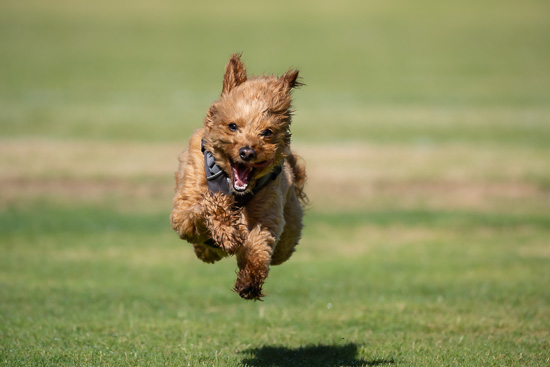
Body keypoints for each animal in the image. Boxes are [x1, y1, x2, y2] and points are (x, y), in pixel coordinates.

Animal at [170, 55, 308, 302]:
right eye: (232, 126)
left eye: (267, 132)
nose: (247, 152)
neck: (231, 185)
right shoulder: (182, 209)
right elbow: (202, 210)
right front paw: (225, 227)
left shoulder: (267, 215)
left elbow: (259, 245)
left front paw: (249, 282)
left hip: (289, 234)